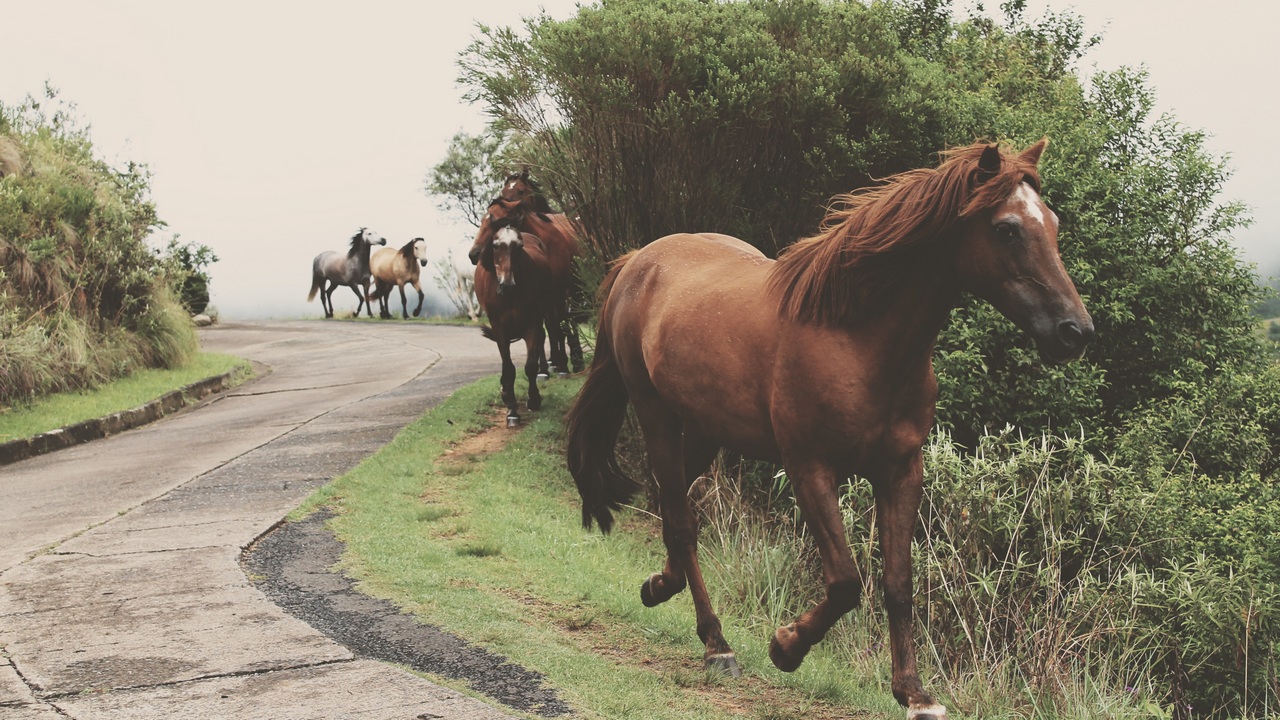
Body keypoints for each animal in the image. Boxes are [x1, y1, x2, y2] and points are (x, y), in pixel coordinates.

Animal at [565, 140, 1095, 717]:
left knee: (673, 505)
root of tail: (638, 261)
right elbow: (845, 582)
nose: (1075, 331)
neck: (856, 338)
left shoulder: (901, 471)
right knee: (682, 522)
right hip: (656, 413)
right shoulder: (810, 467)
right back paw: (716, 644)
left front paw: (914, 692)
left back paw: (660, 586)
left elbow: (898, 582)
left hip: (707, 429)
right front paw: (785, 646)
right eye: (1008, 229)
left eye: (1053, 223)